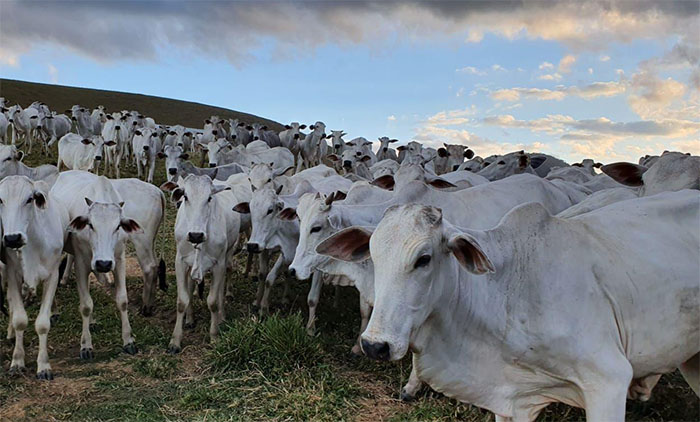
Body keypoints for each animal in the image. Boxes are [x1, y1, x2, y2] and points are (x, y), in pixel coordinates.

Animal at [0, 175, 68, 380]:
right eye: (0, 200)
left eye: (29, 199)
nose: (12, 238)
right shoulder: (12, 274)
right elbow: (20, 319)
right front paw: (17, 361)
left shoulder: (53, 275)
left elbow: (43, 324)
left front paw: (44, 366)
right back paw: (10, 333)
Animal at [161, 175, 242, 352]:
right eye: (185, 197)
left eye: (209, 198)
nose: (195, 235)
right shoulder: (180, 262)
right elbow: (182, 300)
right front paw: (175, 341)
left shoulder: (218, 264)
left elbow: (212, 301)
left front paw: (214, 336)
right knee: (191, 286)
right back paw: (190, 319)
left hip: (227, 255)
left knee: (221, 288)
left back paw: (221, 317)